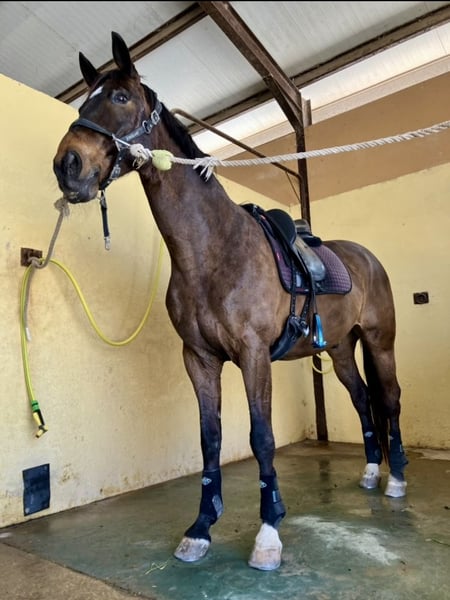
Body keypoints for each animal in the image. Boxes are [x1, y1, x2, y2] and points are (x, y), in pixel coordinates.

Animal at [52, 31, 408, 571]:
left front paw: (269, 531)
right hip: (342, 349)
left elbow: (261, 437)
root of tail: (366, 257)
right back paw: (370, 471)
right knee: (363, 398)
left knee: (389, 397)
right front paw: (200, 528)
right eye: (81, 103)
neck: (213, 250)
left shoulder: (253, 354)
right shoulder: (199, 359)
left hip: (380, 341)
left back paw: (397, 478)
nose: (66, 166)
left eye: (120, 97)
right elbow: (210, 438)